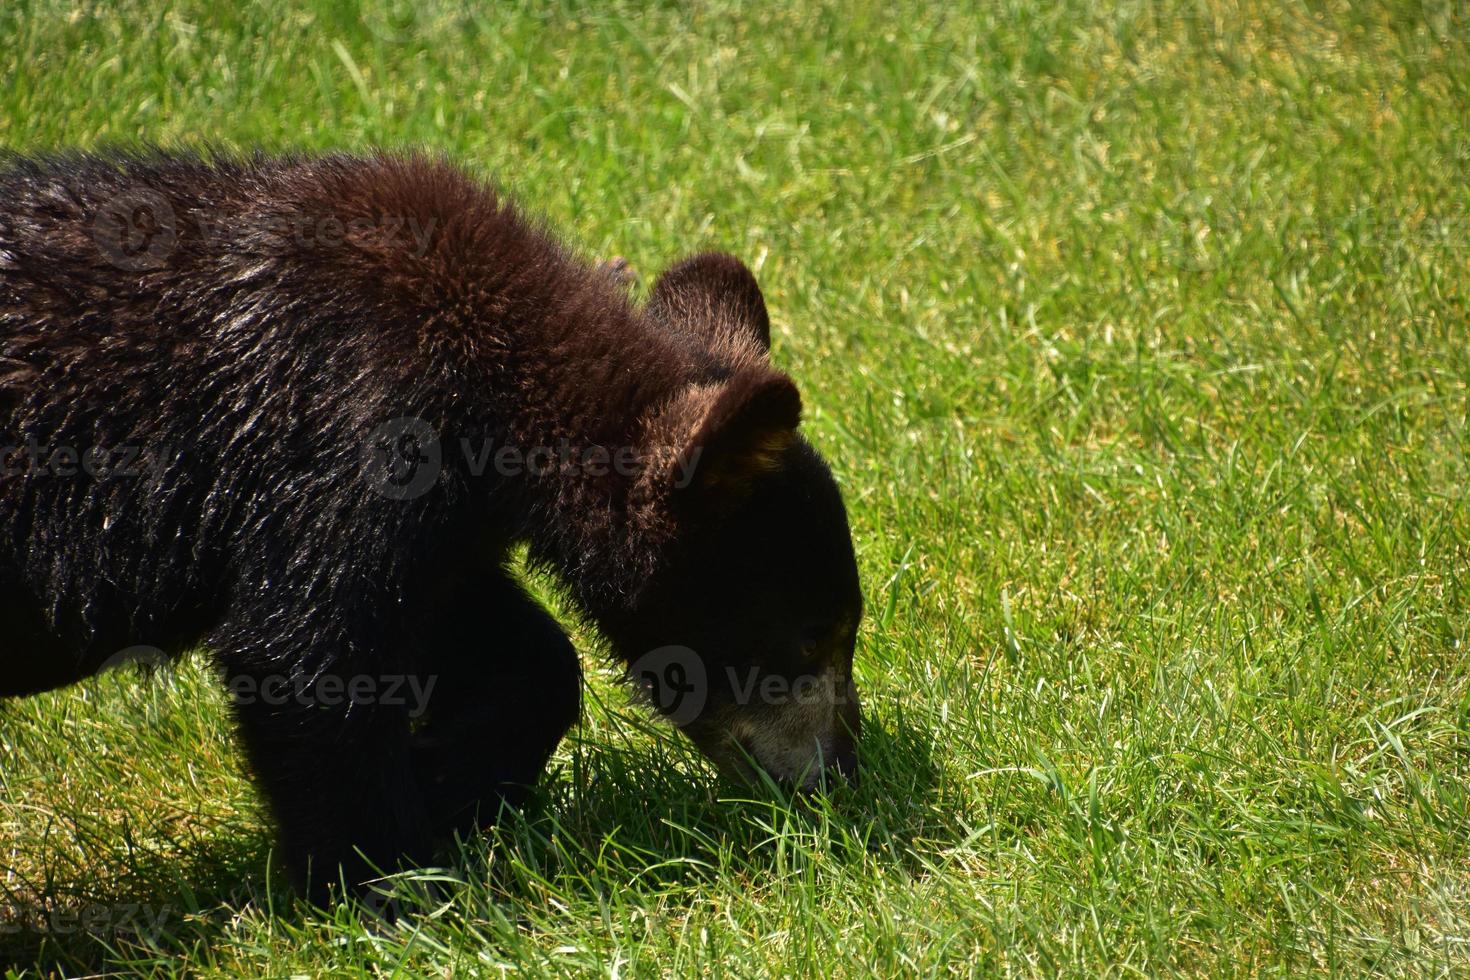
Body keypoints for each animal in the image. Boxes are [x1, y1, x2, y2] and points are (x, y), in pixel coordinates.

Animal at [0, 153, 858, 905]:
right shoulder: (351, 427)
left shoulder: (441, 515)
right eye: (812, 638)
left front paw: (449, 783)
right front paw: (391, 889)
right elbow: (305, 656)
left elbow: (493, 640)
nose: (847, 776)